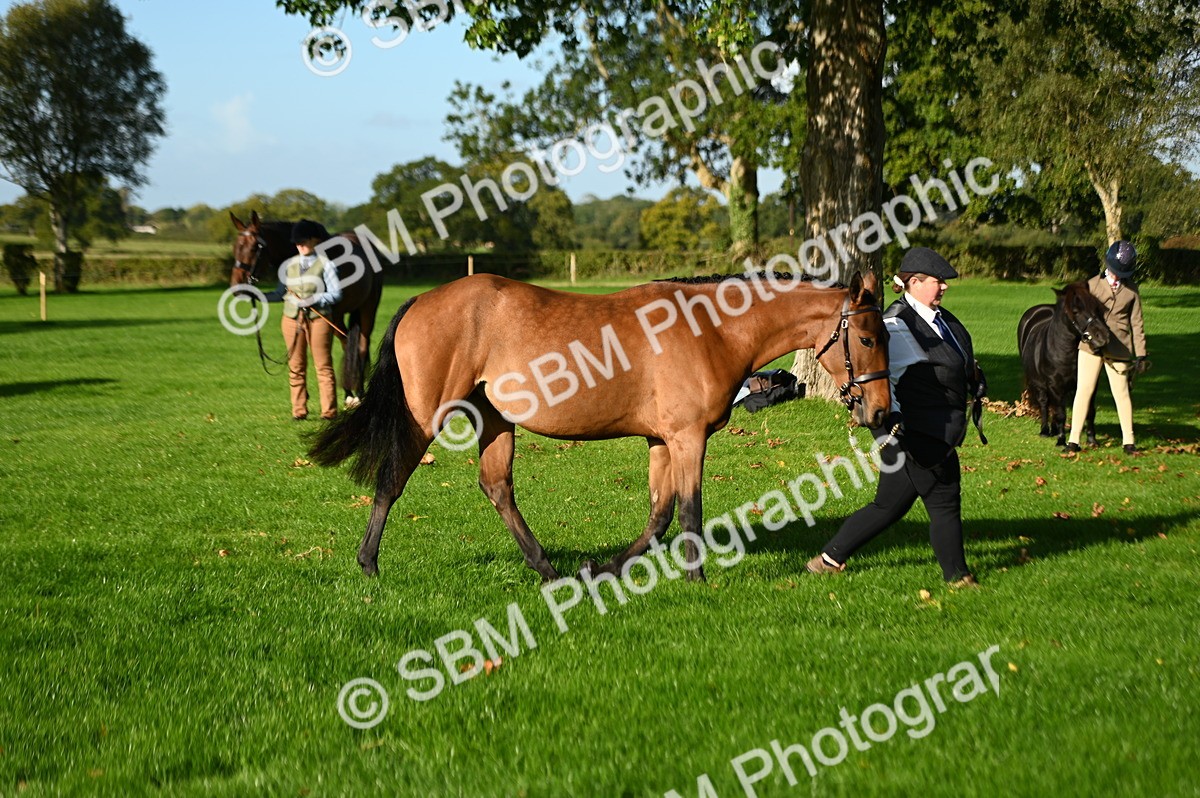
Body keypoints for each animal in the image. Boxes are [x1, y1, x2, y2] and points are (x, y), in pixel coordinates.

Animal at [229, 211, 384, 404]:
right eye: (235, 247)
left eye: (253, 248)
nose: (237, 287)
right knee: (347, 343)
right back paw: (349, 392)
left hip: (367, 308)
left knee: (360, 345)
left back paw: (359, 392)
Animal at [307, 270, 893, 582]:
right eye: (867, 338)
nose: (881, 411)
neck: (712, 330)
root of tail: (421, 300)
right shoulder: (687, 438)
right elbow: (689, 510)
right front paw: (698, 577)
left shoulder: (661, 440)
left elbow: (659, 515)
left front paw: (604, 568)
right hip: (426, 416)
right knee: (392, 480)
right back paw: (368, 563)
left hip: (495, 420)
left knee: (497, 486)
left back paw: (548, 569)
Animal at [1017, 280, 1111, 446]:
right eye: (1075, 311)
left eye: (1097, 307)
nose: (1103, 336)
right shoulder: (1054, 385)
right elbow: (1060, 413)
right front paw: (1061, 441)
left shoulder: (1088, 384)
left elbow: (1089, 411)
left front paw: (1092, 440)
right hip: (1040, 384)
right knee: (1045, 403)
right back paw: (1045, 431)